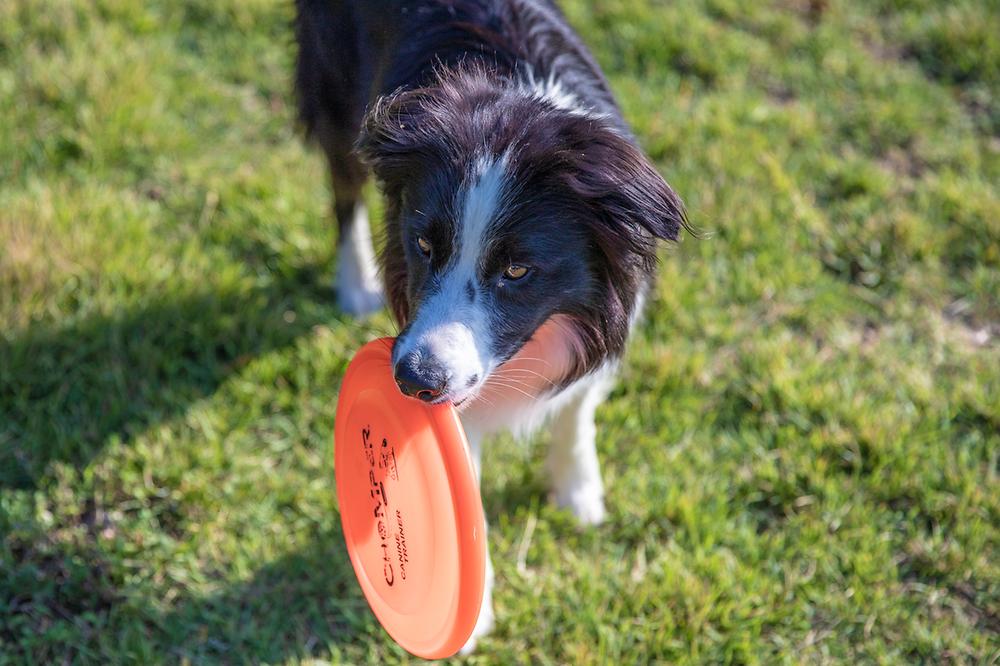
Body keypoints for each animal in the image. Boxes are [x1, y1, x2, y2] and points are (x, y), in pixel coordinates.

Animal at [296, 0, 688, 648]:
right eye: (424, 246)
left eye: (517, 270)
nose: (412, 380)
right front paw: (474, 611)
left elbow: (576, 405)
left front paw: (579, 492)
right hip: (335, 91)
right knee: (343, 185)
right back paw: (354, 281)